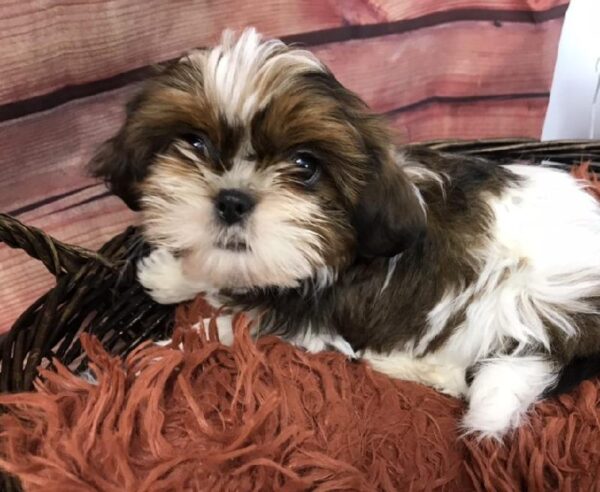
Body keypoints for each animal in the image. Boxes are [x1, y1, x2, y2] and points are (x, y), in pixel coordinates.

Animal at [88, 28, 600, 438]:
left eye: (305, 165)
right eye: (194, 142)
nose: (232, 199)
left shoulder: (316, 321)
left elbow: (229, 328)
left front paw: (141, 363)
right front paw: (170, 275)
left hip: (514, 298)